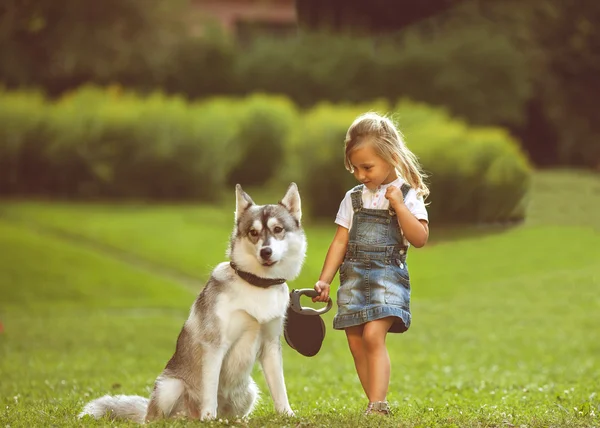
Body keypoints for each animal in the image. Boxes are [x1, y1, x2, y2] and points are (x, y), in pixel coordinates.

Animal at [79, 183, 308, 422]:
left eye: (278, 229)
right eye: (253, 233)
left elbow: (279, 388)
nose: (266, 251)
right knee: (159, 417)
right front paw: (208, 417)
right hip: (170, 387)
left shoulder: (271, 345)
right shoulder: (214, 345)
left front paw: (287, 414)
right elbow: (210, 388)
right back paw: (183, 418)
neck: (257, 284)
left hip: (249, 391)